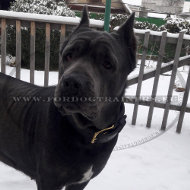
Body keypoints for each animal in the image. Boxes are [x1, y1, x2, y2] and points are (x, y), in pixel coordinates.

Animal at [0, 6, 137, 189]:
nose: (72, 82)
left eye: (108, 64)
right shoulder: (49, 181)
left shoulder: (80, 182)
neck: (87, 134)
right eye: (68, 56)